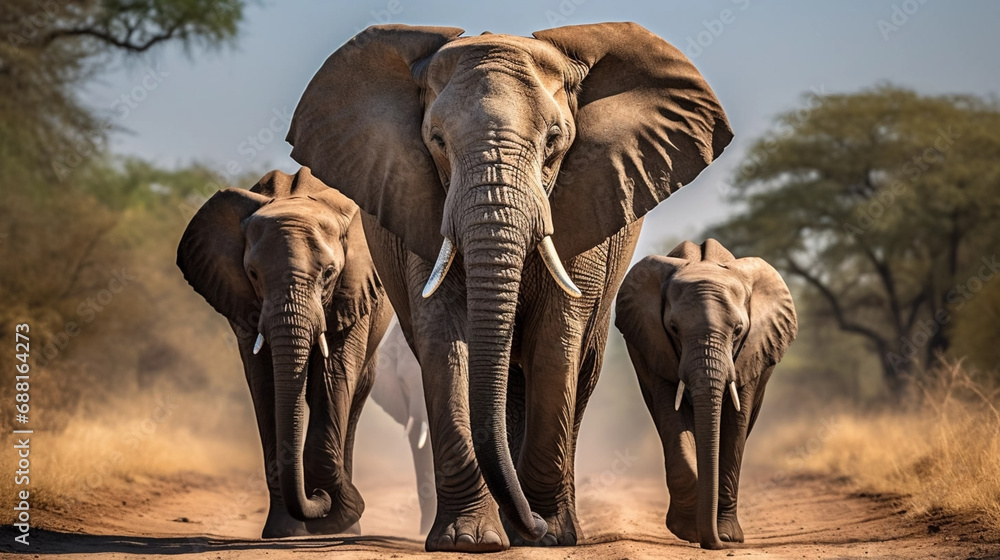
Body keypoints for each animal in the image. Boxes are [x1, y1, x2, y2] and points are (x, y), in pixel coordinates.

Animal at [176, 168, 393, 538]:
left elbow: (335, 373)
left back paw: (347, 530)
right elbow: (265, 383)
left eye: (329, 273)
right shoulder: (245, 303)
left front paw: (333, 520)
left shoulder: (354, 289)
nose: (317, 496)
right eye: (252, 274)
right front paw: (285, 532)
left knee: (355, 395)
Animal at [614, 239, 797, 549]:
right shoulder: (656, 347)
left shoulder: (750, 352)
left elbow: (735, 426)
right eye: (674, 329)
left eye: (738, 330)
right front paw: (688, 530)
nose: (717, 543)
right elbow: (671, 417)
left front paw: (726, 535)